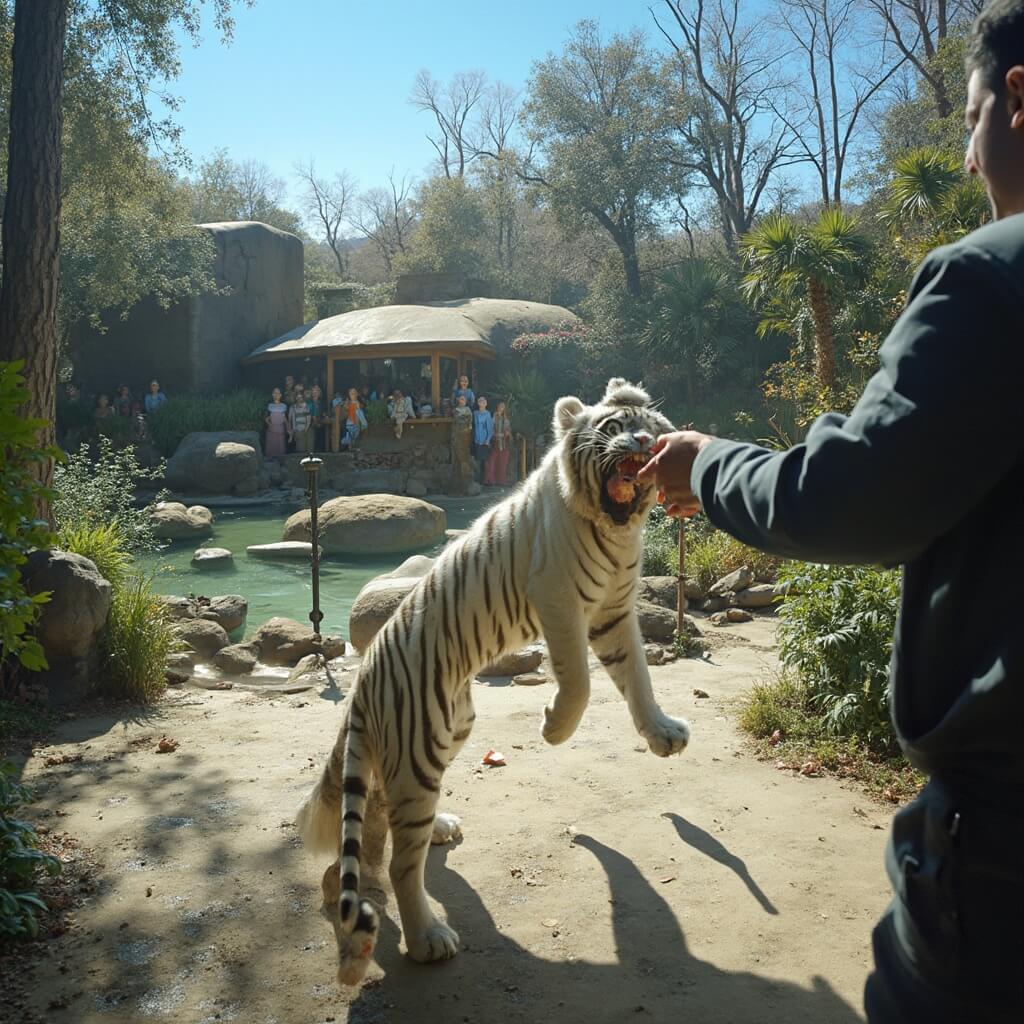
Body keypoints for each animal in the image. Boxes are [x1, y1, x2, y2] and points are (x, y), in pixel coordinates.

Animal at [295, 377, 691, 986]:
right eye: (614, 427)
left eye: (653, 427)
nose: (644, 443)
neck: (612, 527)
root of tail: (362, 683)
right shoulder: (559, 600)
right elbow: (580, 682)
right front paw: (553, 728)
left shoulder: (614, 611)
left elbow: (638, 678)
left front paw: (663, 734)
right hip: (422, 742)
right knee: (402, 862)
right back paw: (428, 938)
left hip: (448, 730)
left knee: (382, 824)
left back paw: (437, 830)